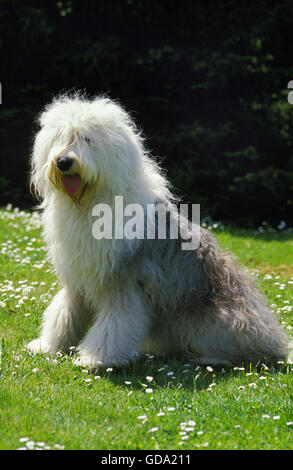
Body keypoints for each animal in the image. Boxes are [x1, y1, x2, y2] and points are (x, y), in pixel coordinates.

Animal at [27, 93, 288, 370]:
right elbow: (64, 313)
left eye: (87, 139)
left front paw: (97, 358)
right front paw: (48, 346)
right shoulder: (78, 277)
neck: (87, 204)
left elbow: (115, 323)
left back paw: (207, 358)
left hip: (216, 320)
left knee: (241, 357)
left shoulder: (124, 282)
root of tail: (278, 345)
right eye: (60, 137)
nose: (63, 162)